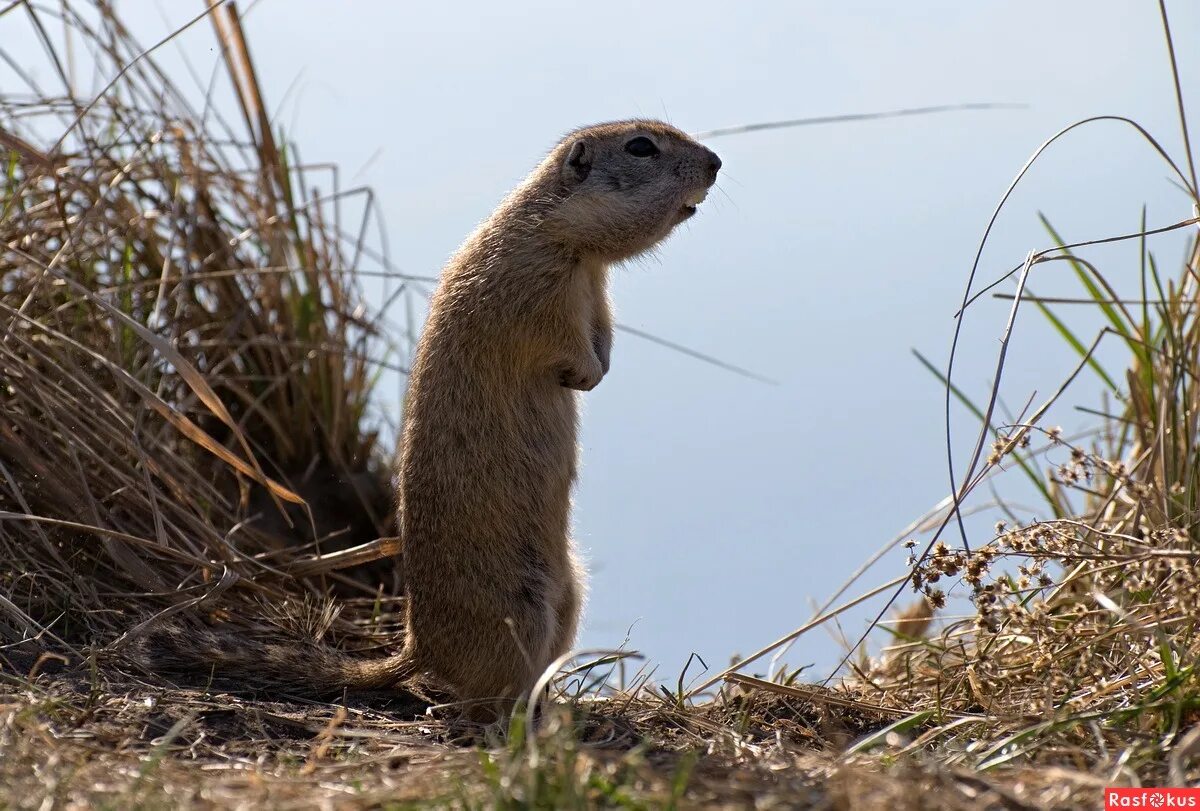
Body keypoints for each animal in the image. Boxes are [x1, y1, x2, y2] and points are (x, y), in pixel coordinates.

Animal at [141, 118, 720, 715]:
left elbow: (604, 335)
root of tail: (418, 647)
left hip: (570, 595)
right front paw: (583, 375)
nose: (717, 163)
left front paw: (600, 370)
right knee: (483, 693)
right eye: (641, 147)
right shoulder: (539, 294)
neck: (568, 243)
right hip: (521, 608)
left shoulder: (597, 293)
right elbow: (561, 341)